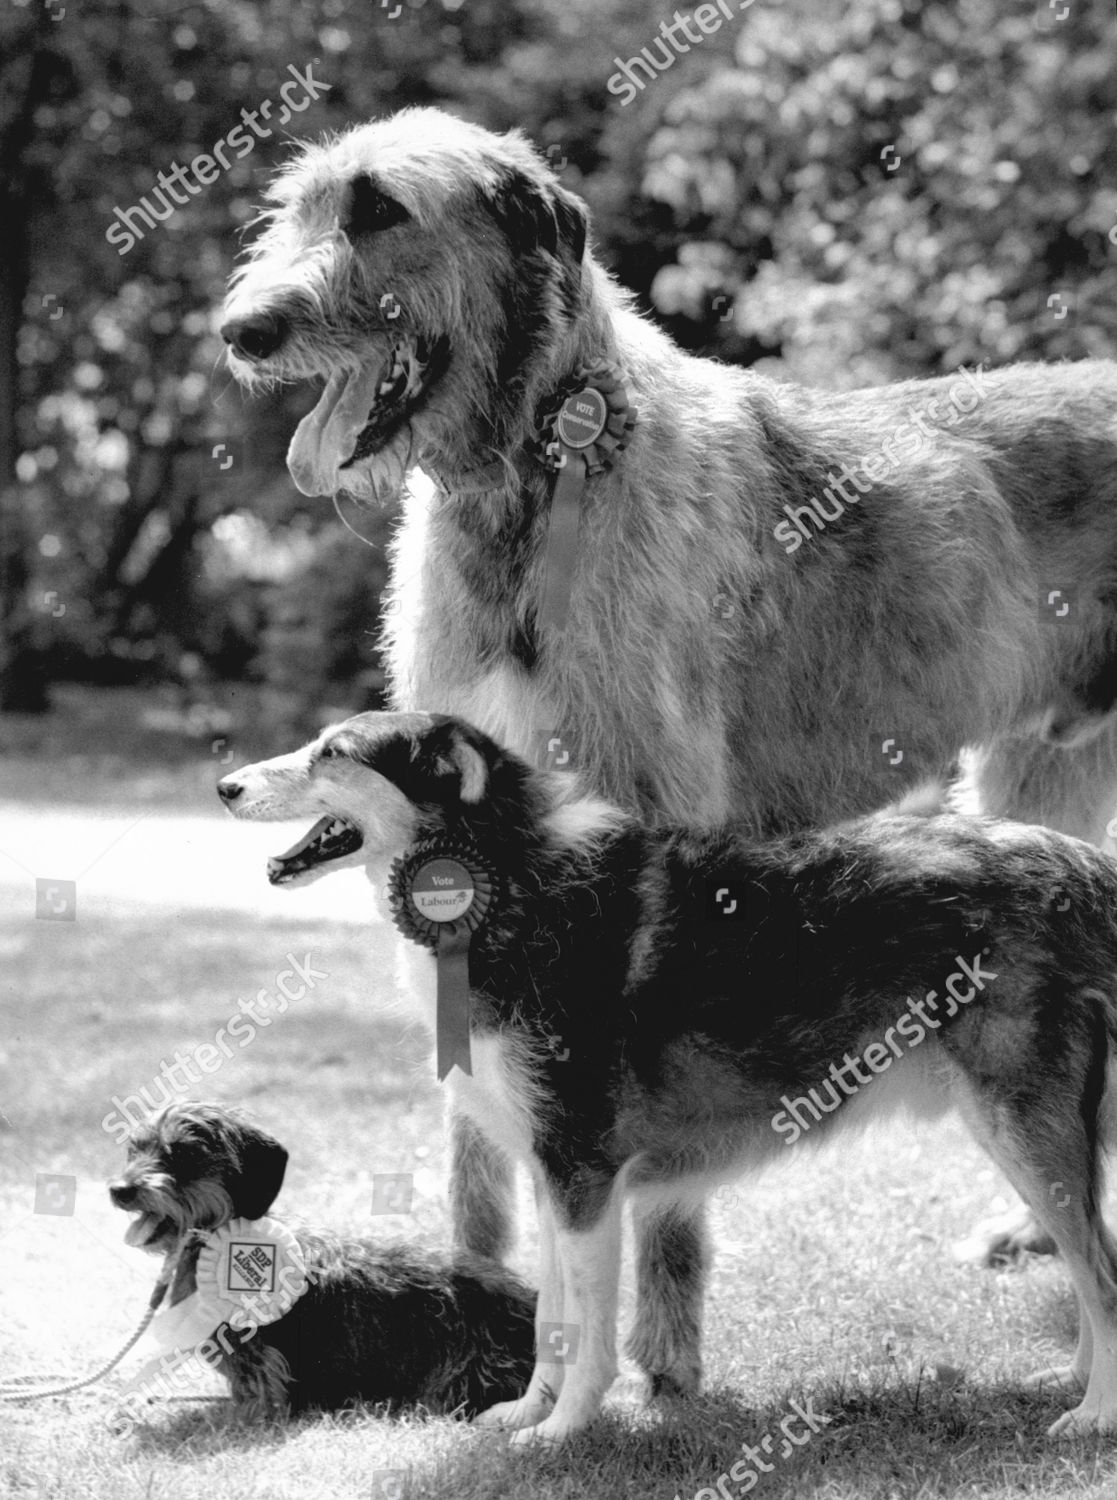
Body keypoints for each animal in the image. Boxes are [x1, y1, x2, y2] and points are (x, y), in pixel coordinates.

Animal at [108, 1104, 536, 1416]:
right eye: (135, 1148)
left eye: (182, 1152)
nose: (118, 1189)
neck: (221, 1238)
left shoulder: (256, 1358)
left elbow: (258, 1395)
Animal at [220, 105, 1117, 1404]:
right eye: (290, 208)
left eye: (381, 208)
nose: (241, 330)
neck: (530, 481)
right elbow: (478, 1153)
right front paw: (476, 1315)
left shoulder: (643, 816)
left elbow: (644, 1183)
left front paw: (659, 1359)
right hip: (1041, 777)